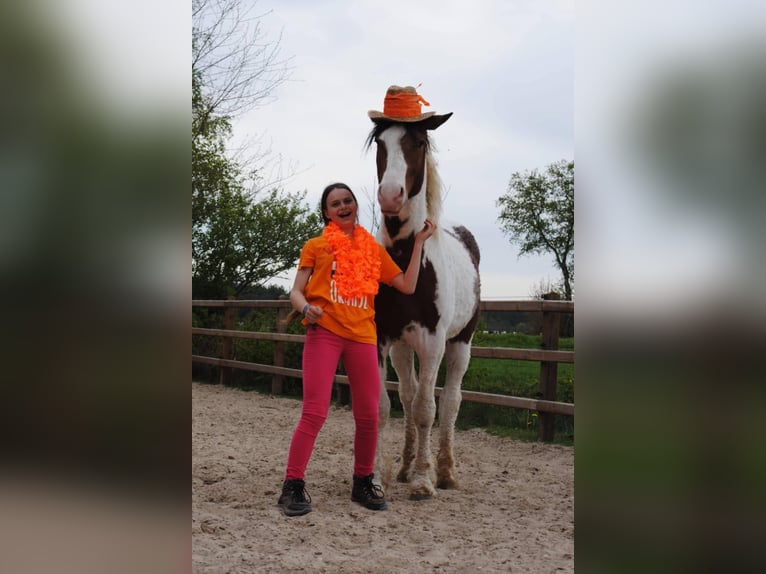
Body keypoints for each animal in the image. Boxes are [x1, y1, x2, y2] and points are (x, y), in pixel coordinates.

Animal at [366, 107, 481, 499]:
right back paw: (404, 466)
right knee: (407, 394)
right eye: (380, 143)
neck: (407, 258)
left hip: (461, 343)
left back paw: (444, 472)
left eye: (417, 142)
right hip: (403, 348)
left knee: (449, 401)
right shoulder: (382, 340)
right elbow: (385, 406)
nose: (389, 195)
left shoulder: (433, 344)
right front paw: (377, 476)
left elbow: (426, 410)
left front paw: (422, 480)